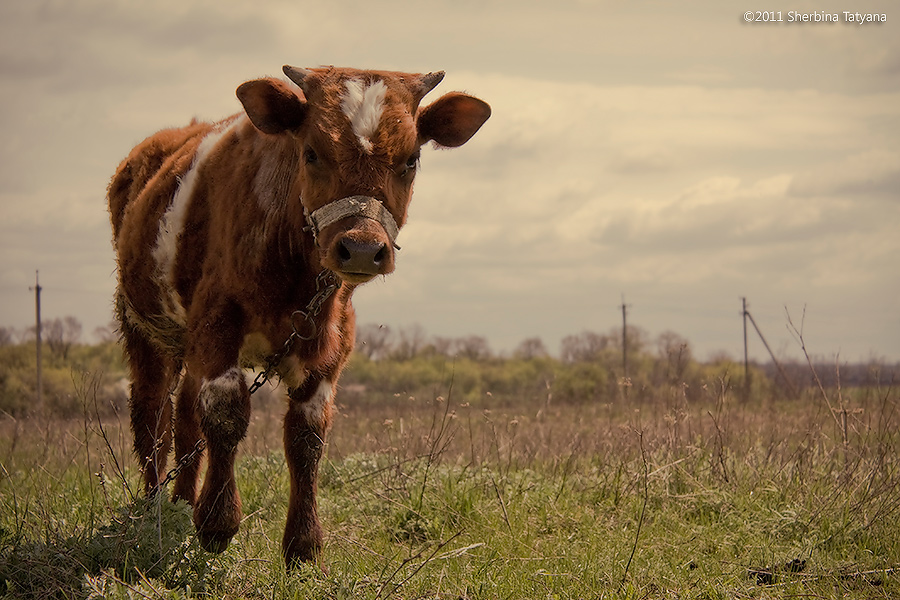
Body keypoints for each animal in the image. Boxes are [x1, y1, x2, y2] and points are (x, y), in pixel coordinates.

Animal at [108, 67, 488, 568]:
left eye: (410, 160)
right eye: (311, 152)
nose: (361, 248)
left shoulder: (329, 351)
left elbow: (306, 438)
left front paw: (303, 543)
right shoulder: (216, 324)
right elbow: (226, 413)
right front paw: (217, 521)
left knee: (187, 415)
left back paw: (181, 503)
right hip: (146, 328)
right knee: (152, 416)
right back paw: (154, 509)